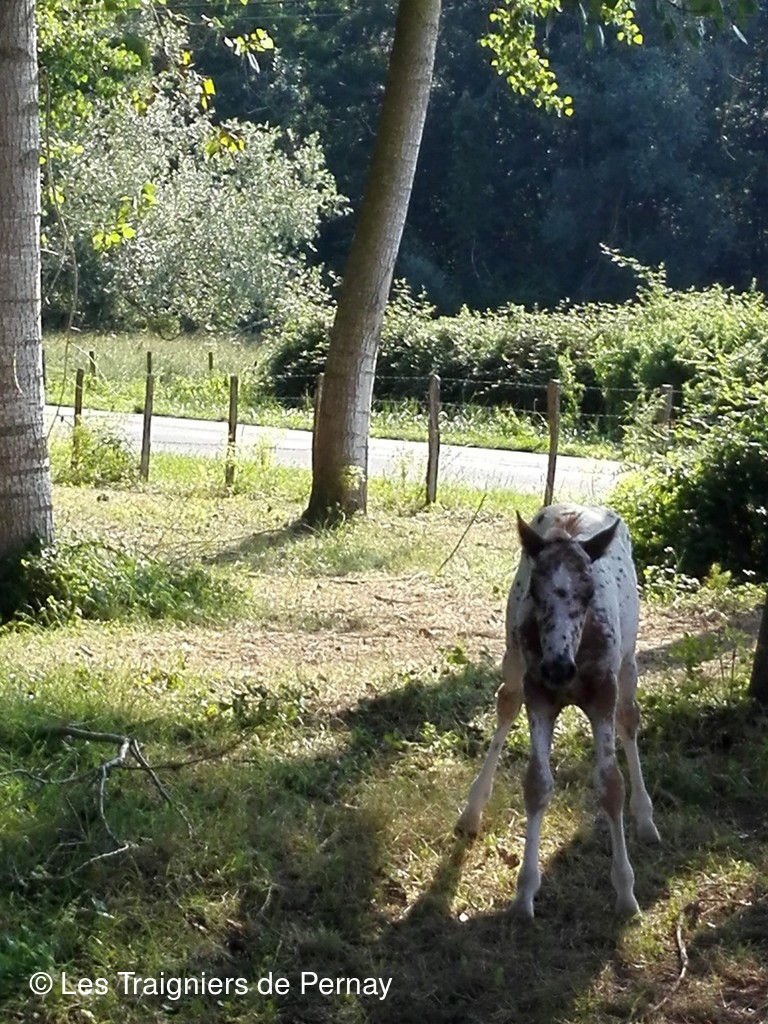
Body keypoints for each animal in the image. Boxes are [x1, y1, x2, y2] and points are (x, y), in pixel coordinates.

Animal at [456, 503, 660, 919]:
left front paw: (625, 893)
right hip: (513, 658)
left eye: (589, 592)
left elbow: (611, 785)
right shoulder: (538, 693)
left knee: (629, 721)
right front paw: (524, 894)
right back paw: (472, 811)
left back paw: (646, 818)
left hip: (629, 664)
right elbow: (537, 783)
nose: (557, 670)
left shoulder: (603, 694)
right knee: (506, 703)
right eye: (536, 590)